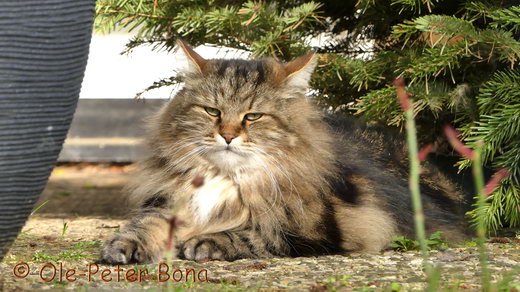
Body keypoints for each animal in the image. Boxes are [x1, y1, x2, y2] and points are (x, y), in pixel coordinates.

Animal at [100, 39, 468, 264]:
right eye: (213, 112)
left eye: (252, 117)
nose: (227, 136)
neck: (226, 178)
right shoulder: (169, 201)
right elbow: (147, 224)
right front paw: (126, 245)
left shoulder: (327, 230)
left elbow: (255, 234)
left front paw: (208, 241)